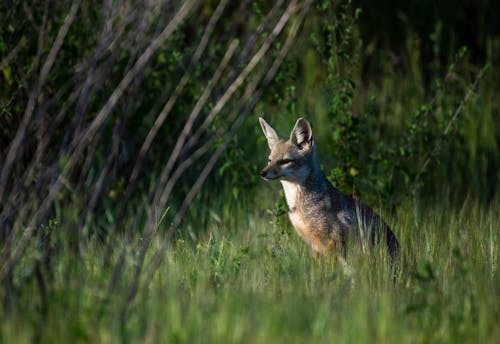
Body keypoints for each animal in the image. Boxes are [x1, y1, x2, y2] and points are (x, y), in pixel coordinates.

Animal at [260, 117, 400, 262]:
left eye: (285, 161)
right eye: (269, 160)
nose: (262, 173)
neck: (297, 205)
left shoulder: (331, 242)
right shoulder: (315, 246)